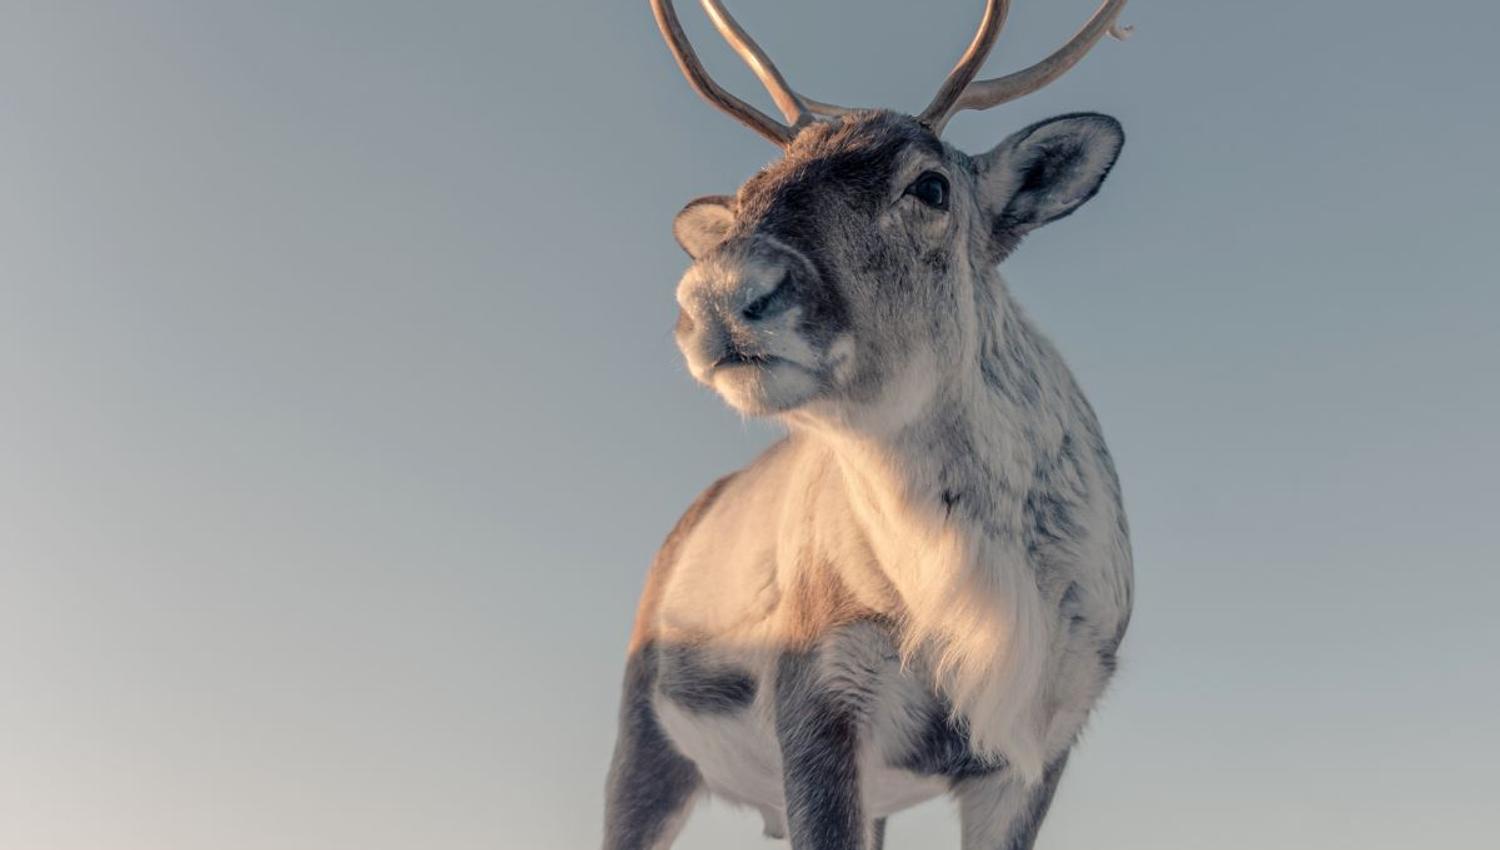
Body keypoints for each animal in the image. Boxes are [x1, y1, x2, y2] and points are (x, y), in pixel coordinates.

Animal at [605, 2, 1134, 848]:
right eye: (749, 192)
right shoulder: (817, 690)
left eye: (932, 185)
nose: (721, 293)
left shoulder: (1043, 739)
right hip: (643, 736)